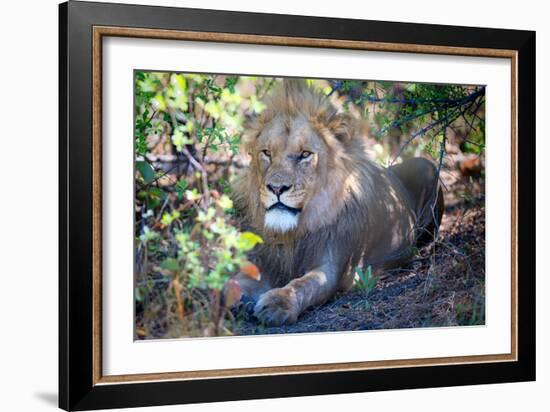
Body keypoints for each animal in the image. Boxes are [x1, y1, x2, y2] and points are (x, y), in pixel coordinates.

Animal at [232, 79, 444, 326]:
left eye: (305, 154)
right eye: (266, 153)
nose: (276, 188)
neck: (294, 232)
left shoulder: (331, 267)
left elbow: (303, 285)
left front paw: (278, 303)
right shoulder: (266, 258)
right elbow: (238, 279)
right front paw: (235, 298)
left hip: (426, 166)